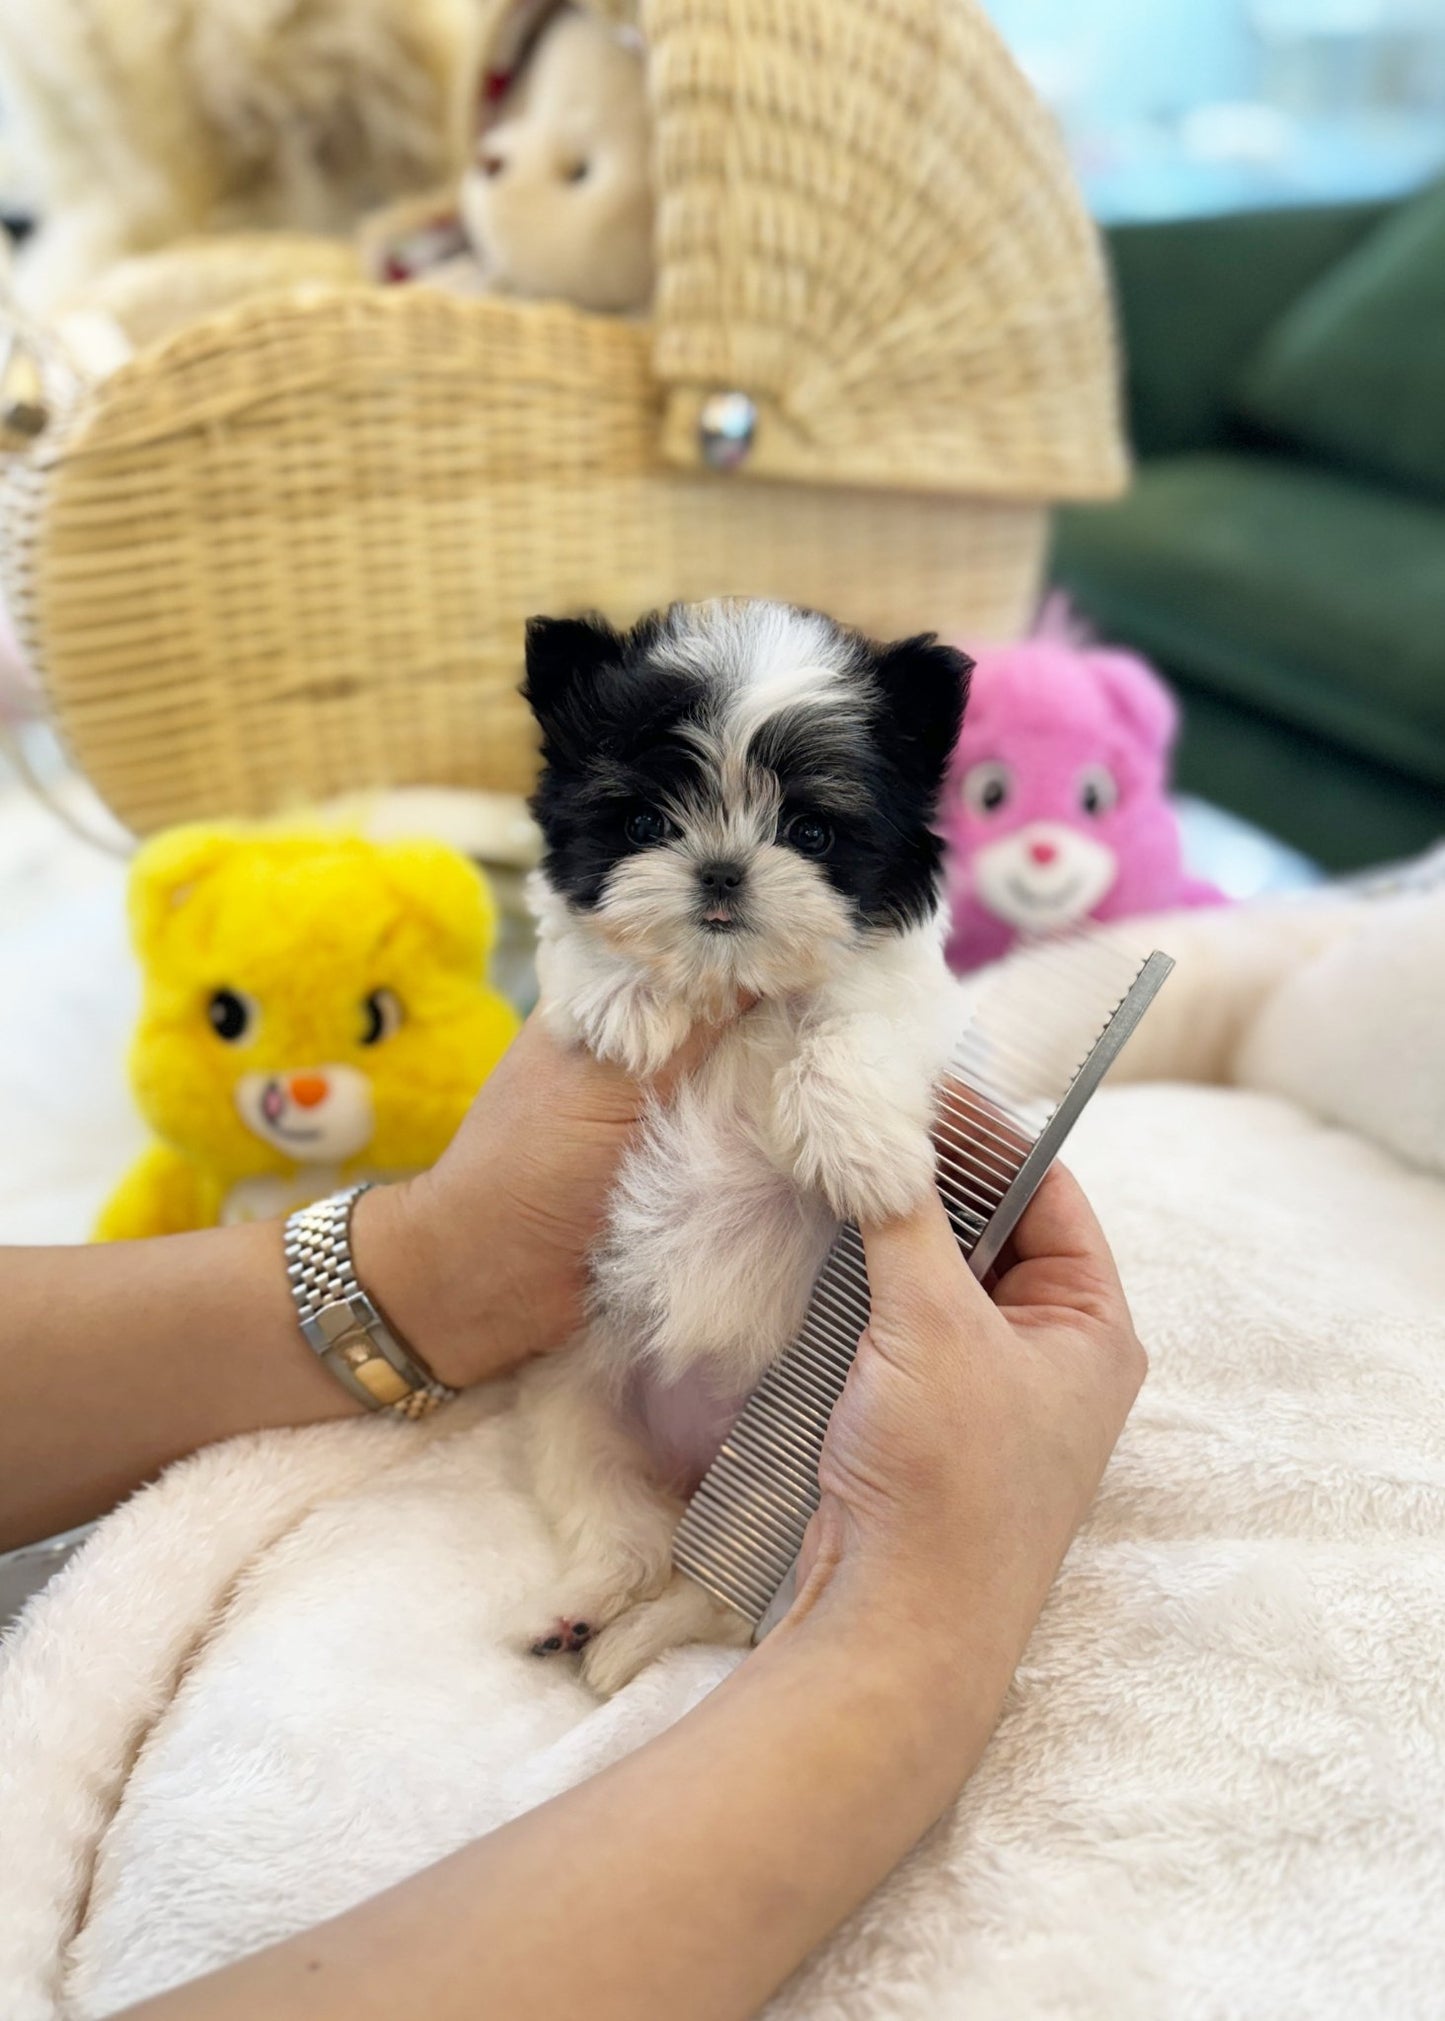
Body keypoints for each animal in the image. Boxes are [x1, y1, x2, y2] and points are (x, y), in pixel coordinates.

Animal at [521, 598, 974, 1689]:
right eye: (645, 823)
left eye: (808, 830)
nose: (720, 868)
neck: (735, 987)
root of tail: (698, 1454)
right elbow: (582, 948)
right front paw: (627, 996)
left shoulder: (905, 1000)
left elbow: (849, 1025)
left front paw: (861, 1150)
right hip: (574, 1401)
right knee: (624, 1525)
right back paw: (581, 1614)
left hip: (800, 1473)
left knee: (718, 1592)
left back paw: (627, 1643)